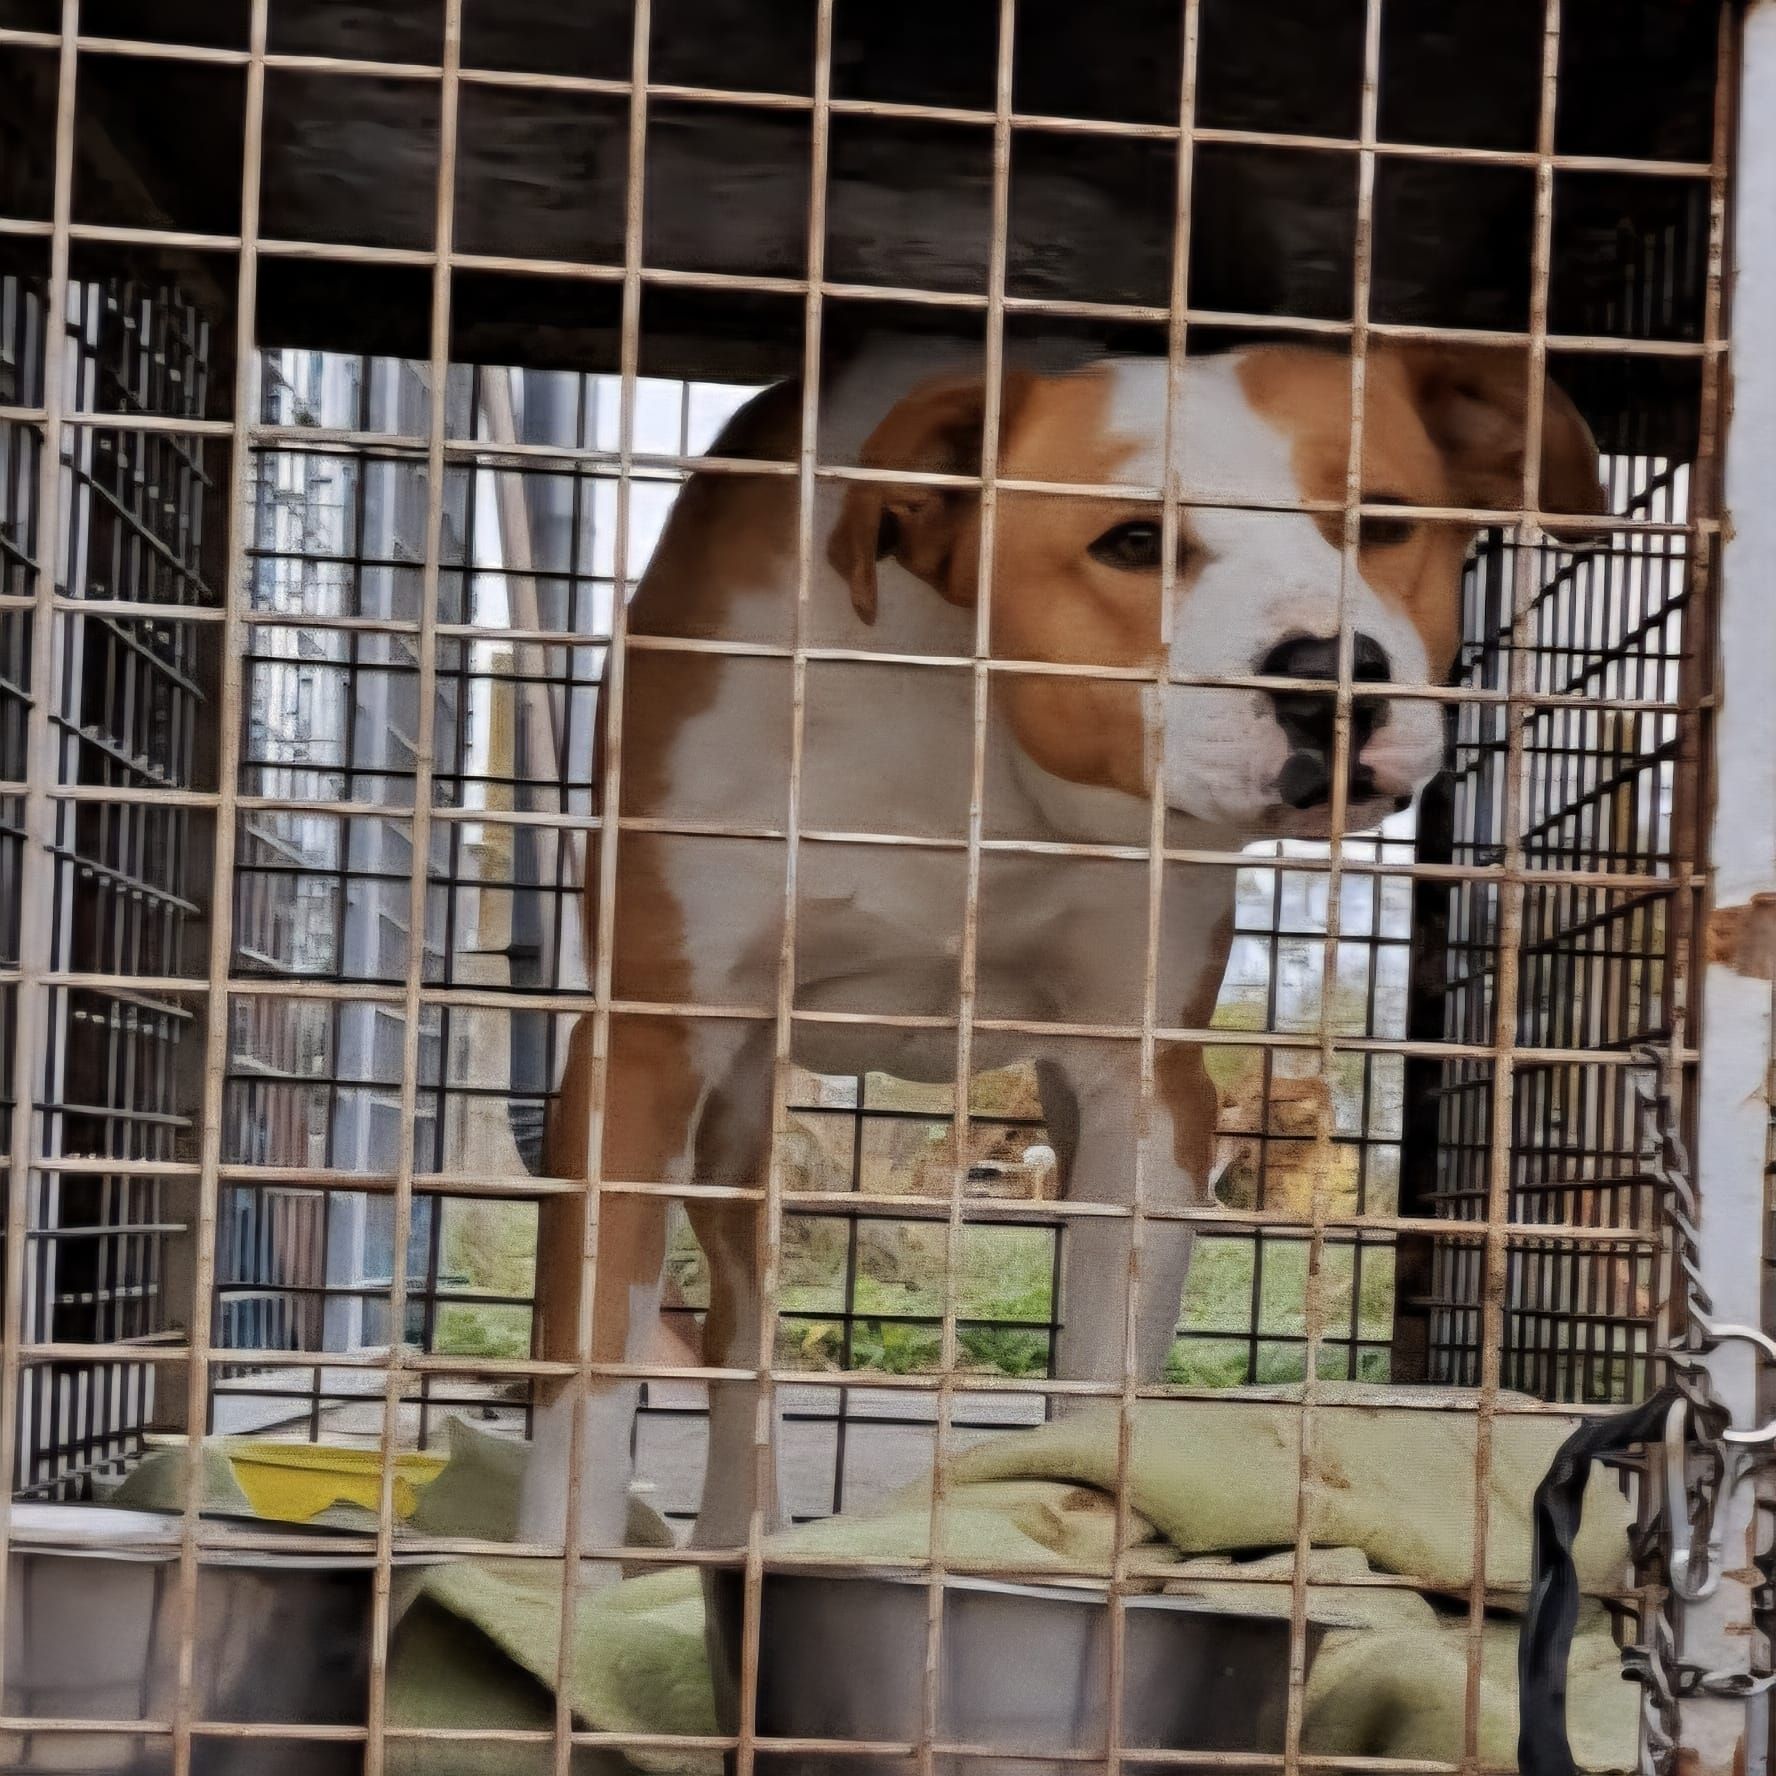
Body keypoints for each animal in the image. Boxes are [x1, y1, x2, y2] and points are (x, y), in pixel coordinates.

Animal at [517, 340, 1605, 1552]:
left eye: (1386, 522)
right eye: (1131, 543)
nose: (1333, 671)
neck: (975, 735)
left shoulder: (1143, 1086)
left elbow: (1102, 1374)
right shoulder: (643, 1053)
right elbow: (586, 1392)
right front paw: (546, 1579)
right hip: (736, 1116)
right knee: (742, 1327)